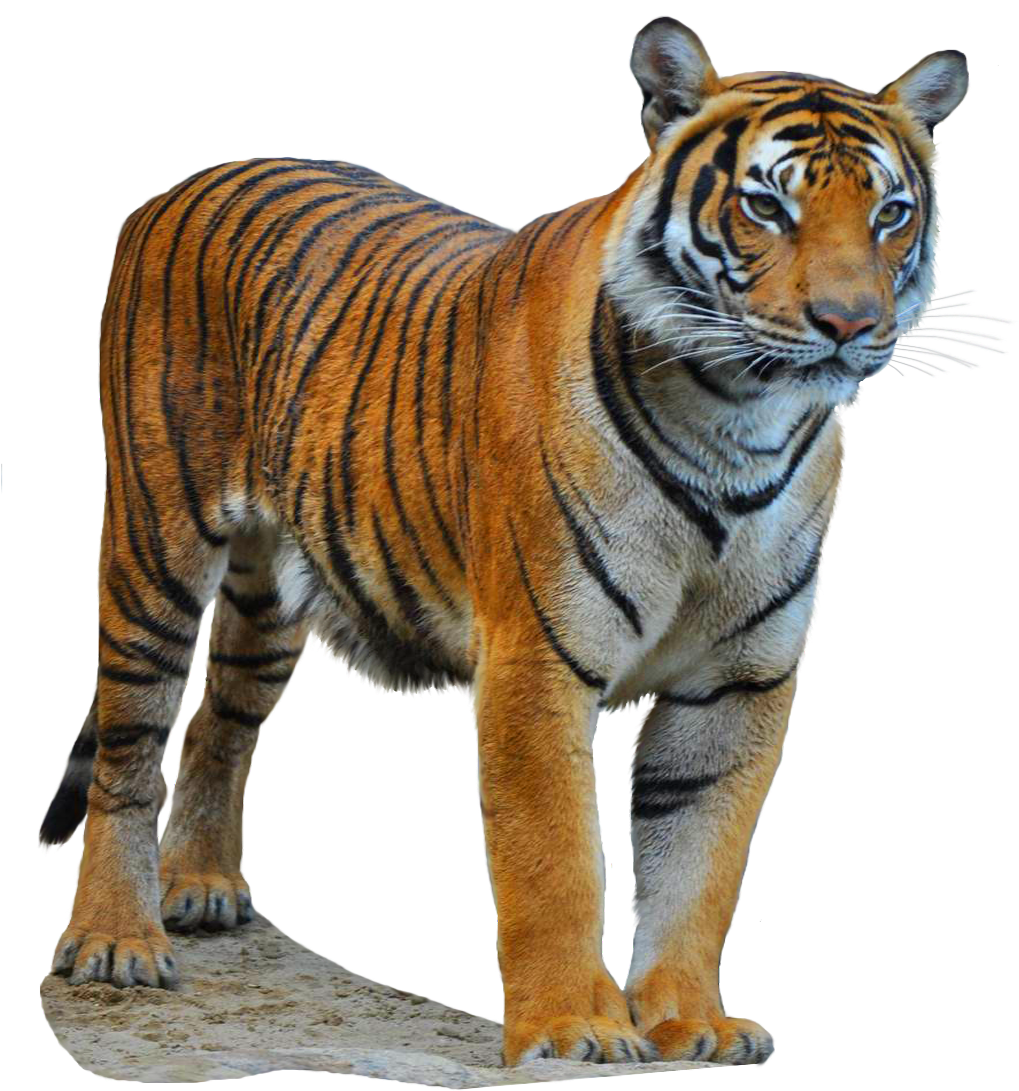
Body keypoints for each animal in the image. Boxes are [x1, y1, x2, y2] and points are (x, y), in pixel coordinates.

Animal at [40, 15, 972, 1068]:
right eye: (765, 205)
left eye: (890, 212)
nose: (849, 324)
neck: (739, 425)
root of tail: (183, 180)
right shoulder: (538, 659)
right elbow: (555, 856)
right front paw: (573, 1027)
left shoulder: (741, 680)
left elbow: (702, 863)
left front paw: (690, 1019)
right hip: (154, 546)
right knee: (131, 739)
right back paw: (115, 941)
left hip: (273, 587)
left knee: (218, 720)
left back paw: (202, 888)